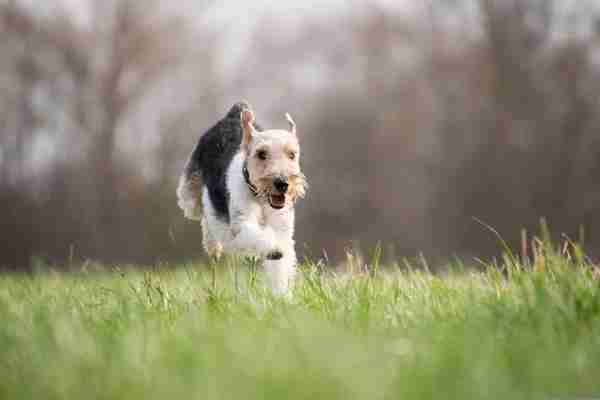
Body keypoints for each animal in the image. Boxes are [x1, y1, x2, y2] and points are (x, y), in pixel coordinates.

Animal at [176, 100, 308, 294]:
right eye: (261, 153)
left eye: (292, 154)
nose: (282, 183)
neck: (260, 199)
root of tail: (233, 113)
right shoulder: (241, 223)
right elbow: (260, 236)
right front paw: (274, 249)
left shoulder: (283, 229)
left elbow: (280, 267)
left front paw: (282, 296)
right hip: (189, 197)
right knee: (204, 215)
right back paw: (213, 246)